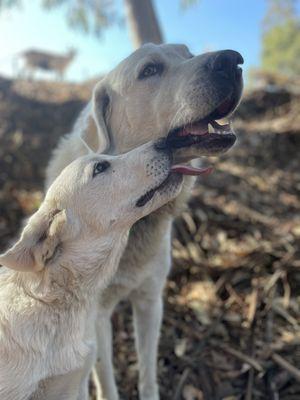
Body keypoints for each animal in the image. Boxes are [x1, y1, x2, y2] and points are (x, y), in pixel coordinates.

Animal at [47, 42, 244, 398]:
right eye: (149, 70)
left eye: (188, 53)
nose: (233, 60)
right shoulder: (96, 317)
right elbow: (106, 381)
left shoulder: (151, 299)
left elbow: (148, 370)